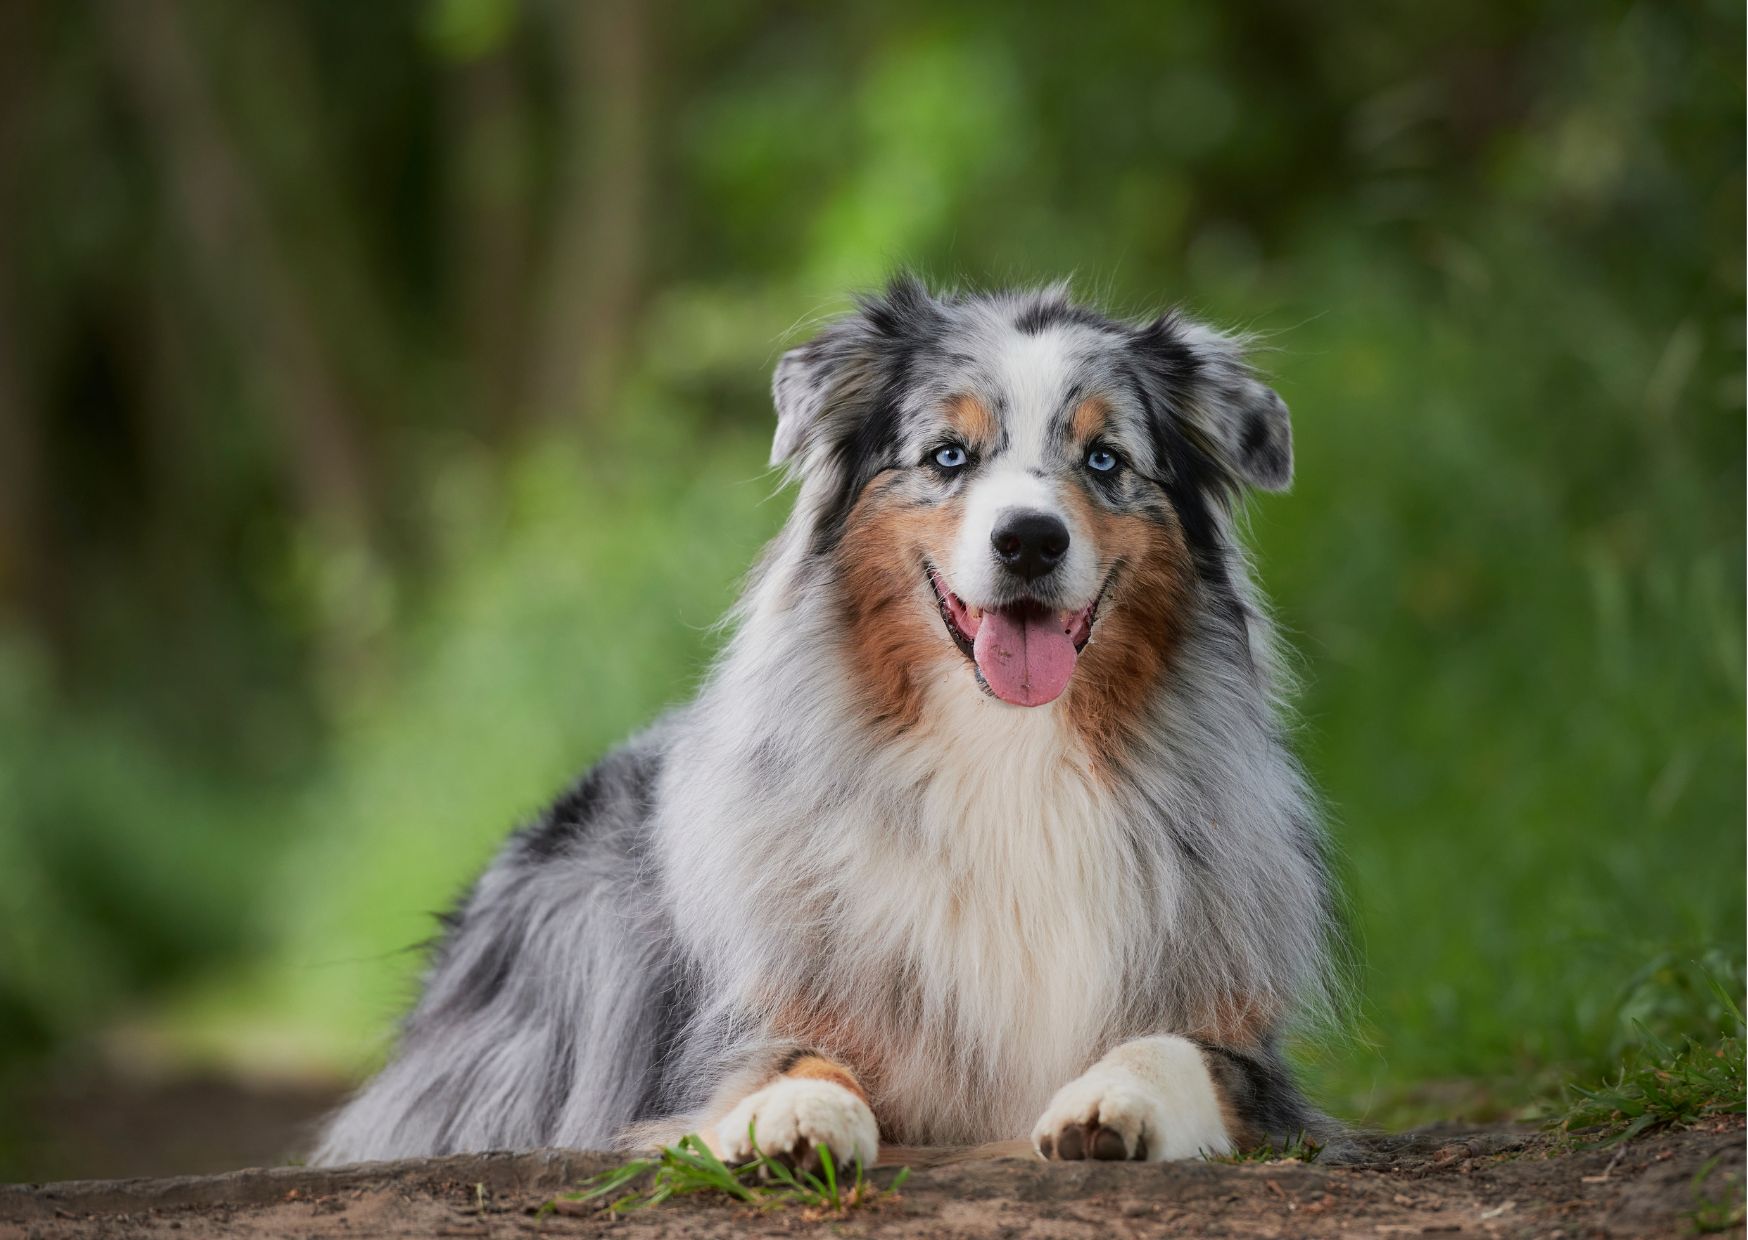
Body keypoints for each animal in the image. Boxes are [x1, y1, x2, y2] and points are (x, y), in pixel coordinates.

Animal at [314, 276, 1335, 1168]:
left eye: (1105, 460)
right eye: (949, 455)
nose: (1030, 540)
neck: (1007, 753)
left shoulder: (1250, 1054)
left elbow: (1179, 1049)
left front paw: (1110, 1099)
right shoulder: (742, 1023)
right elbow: (789, 1056)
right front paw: (797, 1115)